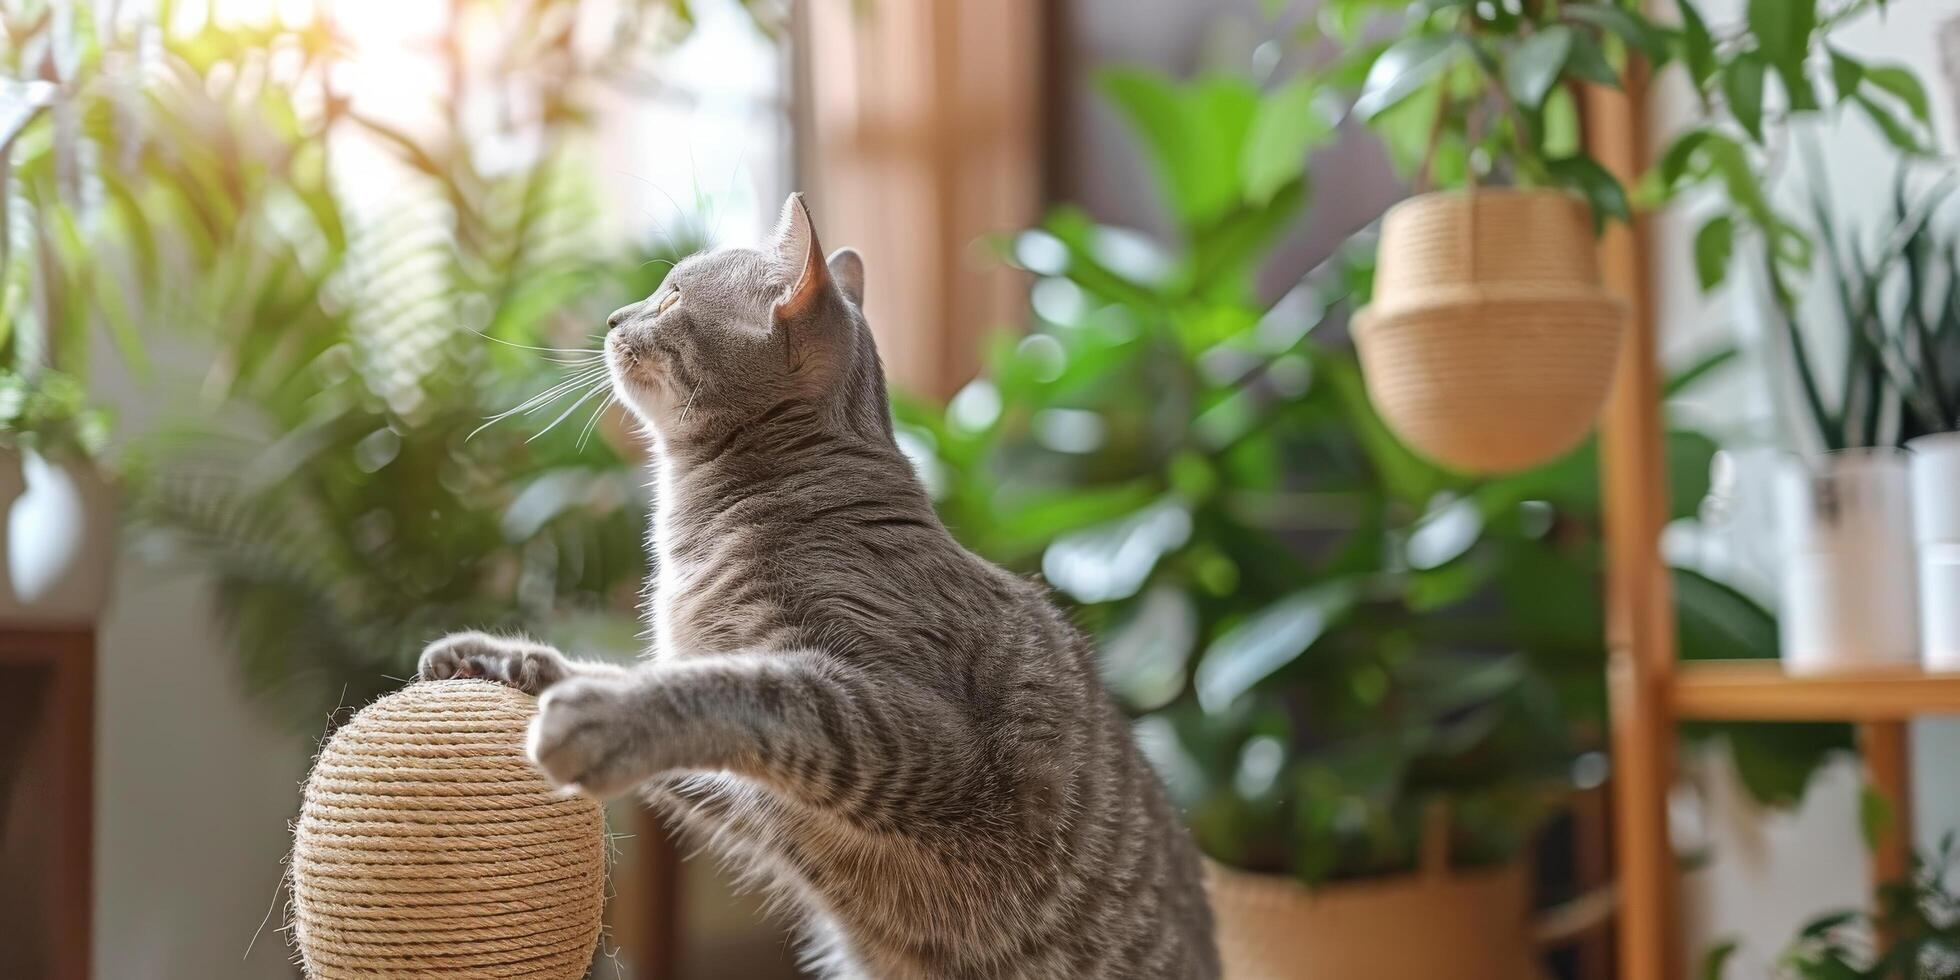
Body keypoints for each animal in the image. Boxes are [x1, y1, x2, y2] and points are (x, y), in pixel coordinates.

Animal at [417, 195, 1207, 976]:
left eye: (670, 296)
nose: (613, 318)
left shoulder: (908, 719)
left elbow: (745, 689)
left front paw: (604, 715)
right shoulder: (747, 799)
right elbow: (638, 687)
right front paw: (493, 661)